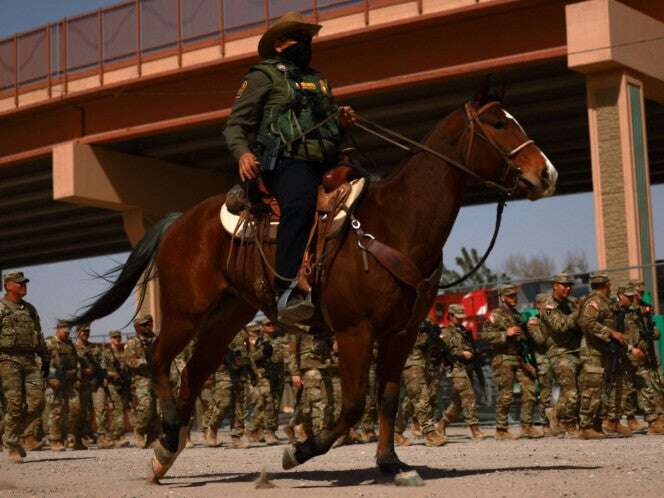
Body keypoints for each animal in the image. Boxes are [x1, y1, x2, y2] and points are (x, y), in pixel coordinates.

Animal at [67, 87, 556, 484]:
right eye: (498, 123)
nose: (547, 173)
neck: (396, 222)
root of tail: (178, 221)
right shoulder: (354, 331)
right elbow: (354, 403)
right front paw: (298, 450)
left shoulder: (401, 332)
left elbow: (388, 398)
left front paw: (391, 463)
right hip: (185, 312)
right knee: (159, 358)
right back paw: (168, 431)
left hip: (227, 316)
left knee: (193, 371)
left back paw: (166, 452)